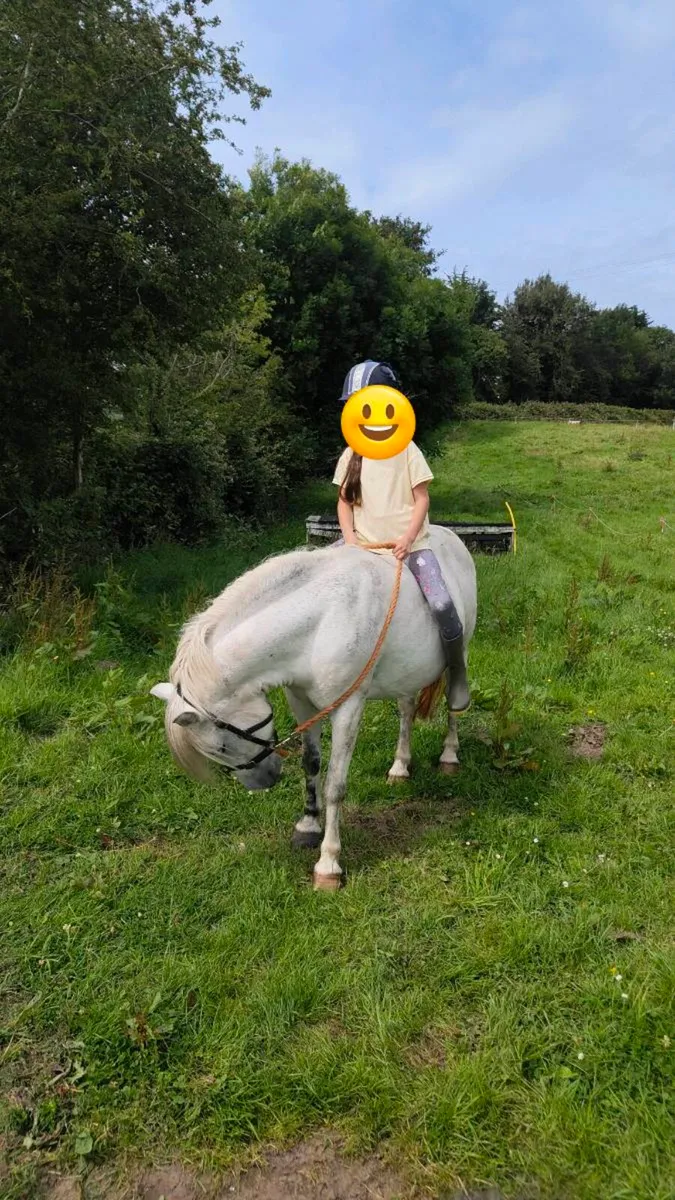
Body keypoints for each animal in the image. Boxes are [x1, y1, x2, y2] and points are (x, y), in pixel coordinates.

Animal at [150, 526, 477, 890]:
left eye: (222, 746)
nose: (264, 781)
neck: (321, 620)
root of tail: (450, 535)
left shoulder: (348, 707)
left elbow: (335, 783)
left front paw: (328, 864)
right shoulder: (302, 702)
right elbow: (311, 764)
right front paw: (307, 827)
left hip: (459, 651)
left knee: (453, 703)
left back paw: (449, 756)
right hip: (406, 671)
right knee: (406, 709)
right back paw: (400, 767)